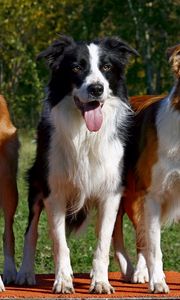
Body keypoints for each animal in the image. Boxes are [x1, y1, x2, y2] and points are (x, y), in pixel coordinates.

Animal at [16, 34, 138, 292]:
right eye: (76, 68)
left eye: (107, 67)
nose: (96, 88)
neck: (84, 133)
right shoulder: (54, 192)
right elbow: (59, 242)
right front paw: (63, 280)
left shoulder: (111, 192)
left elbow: (103, 240)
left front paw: (100, 281)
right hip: (36, 182)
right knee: (30, 231)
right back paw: (25, 272)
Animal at [114, 44, 180, 292]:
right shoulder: (152, 194)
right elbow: (154, 246)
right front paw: (158, 281)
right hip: (130, 196)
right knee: (136, 237)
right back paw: (135, 271)